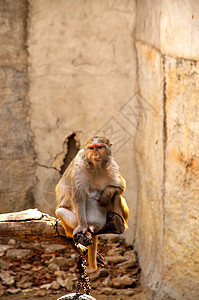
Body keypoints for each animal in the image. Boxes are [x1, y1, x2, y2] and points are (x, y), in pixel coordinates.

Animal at [55, 136, 129, 270]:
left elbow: (120, 187)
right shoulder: (78, 167)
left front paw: (106, 193)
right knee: (60, 211)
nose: (95, 154)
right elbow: (78, 197)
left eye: (99, 147)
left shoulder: (112, 166)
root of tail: (95, 226)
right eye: (91, 148)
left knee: (116, 195)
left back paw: (117, 220)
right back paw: (86, 229)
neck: (96, 166)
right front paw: (82, 227)